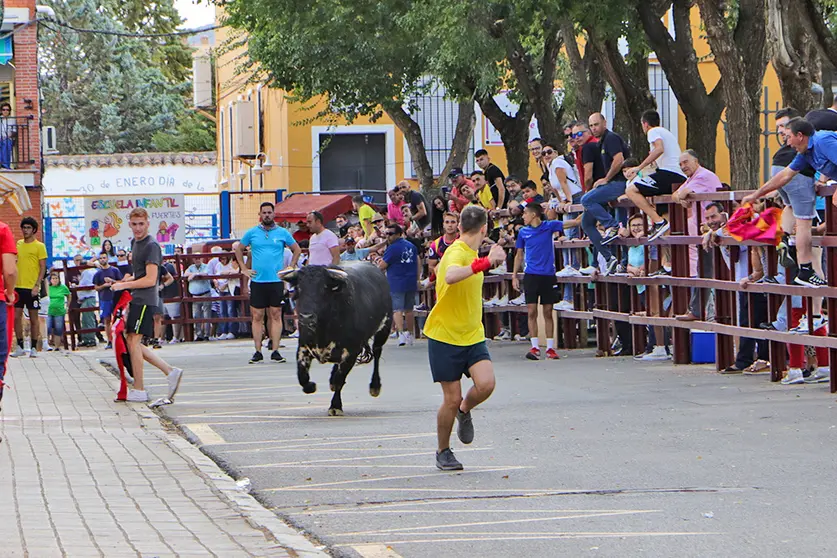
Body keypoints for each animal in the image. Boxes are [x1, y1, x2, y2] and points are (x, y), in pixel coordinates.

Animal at [276, 264, 390, 416]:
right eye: (299, 288)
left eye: (324, 287)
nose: (306, 317)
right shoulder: (303, 348)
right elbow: (303, 377)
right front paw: (311, 386)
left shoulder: (352, 352)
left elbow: (339, 379)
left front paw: (335, 406)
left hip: (383, 330)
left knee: (377, 353)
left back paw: (375, 387)